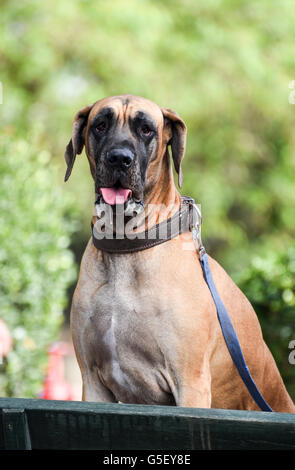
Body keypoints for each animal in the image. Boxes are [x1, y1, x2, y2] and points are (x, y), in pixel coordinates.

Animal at [65, 94, 295, 412]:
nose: (119, 158)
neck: (127, 244)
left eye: (146, 129)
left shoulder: (190, 383)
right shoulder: (93, 383)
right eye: (100, 125)